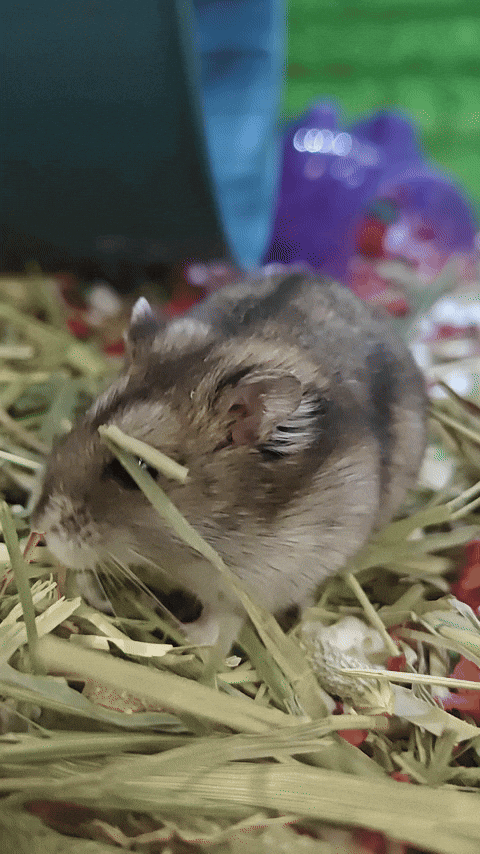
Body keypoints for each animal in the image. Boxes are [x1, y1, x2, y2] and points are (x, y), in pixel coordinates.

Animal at [32, 270, 426, 646]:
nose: (40, 528)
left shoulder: (252, 586)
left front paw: (183, 632)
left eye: (137, 470)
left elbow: (219, 623)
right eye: (81, 420)